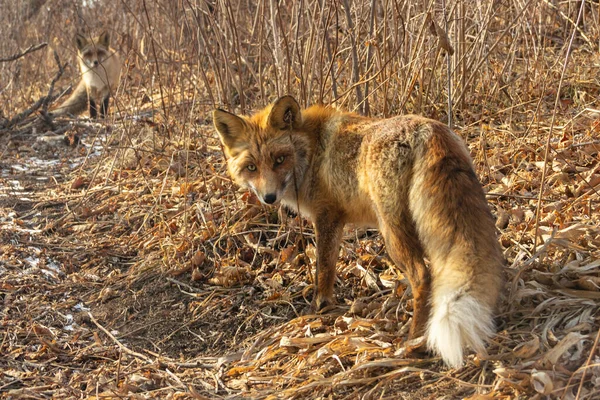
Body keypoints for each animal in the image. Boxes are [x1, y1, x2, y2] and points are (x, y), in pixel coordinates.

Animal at [213, 95, 504, 368]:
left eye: (279, 159)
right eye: (252, 167)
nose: (269, 198)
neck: (311, 152)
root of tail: (428, 129)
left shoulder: (327, 216)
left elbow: (323, 270)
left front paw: (319, 308)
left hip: (391, 231)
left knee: (423, 276)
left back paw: (414, 341)